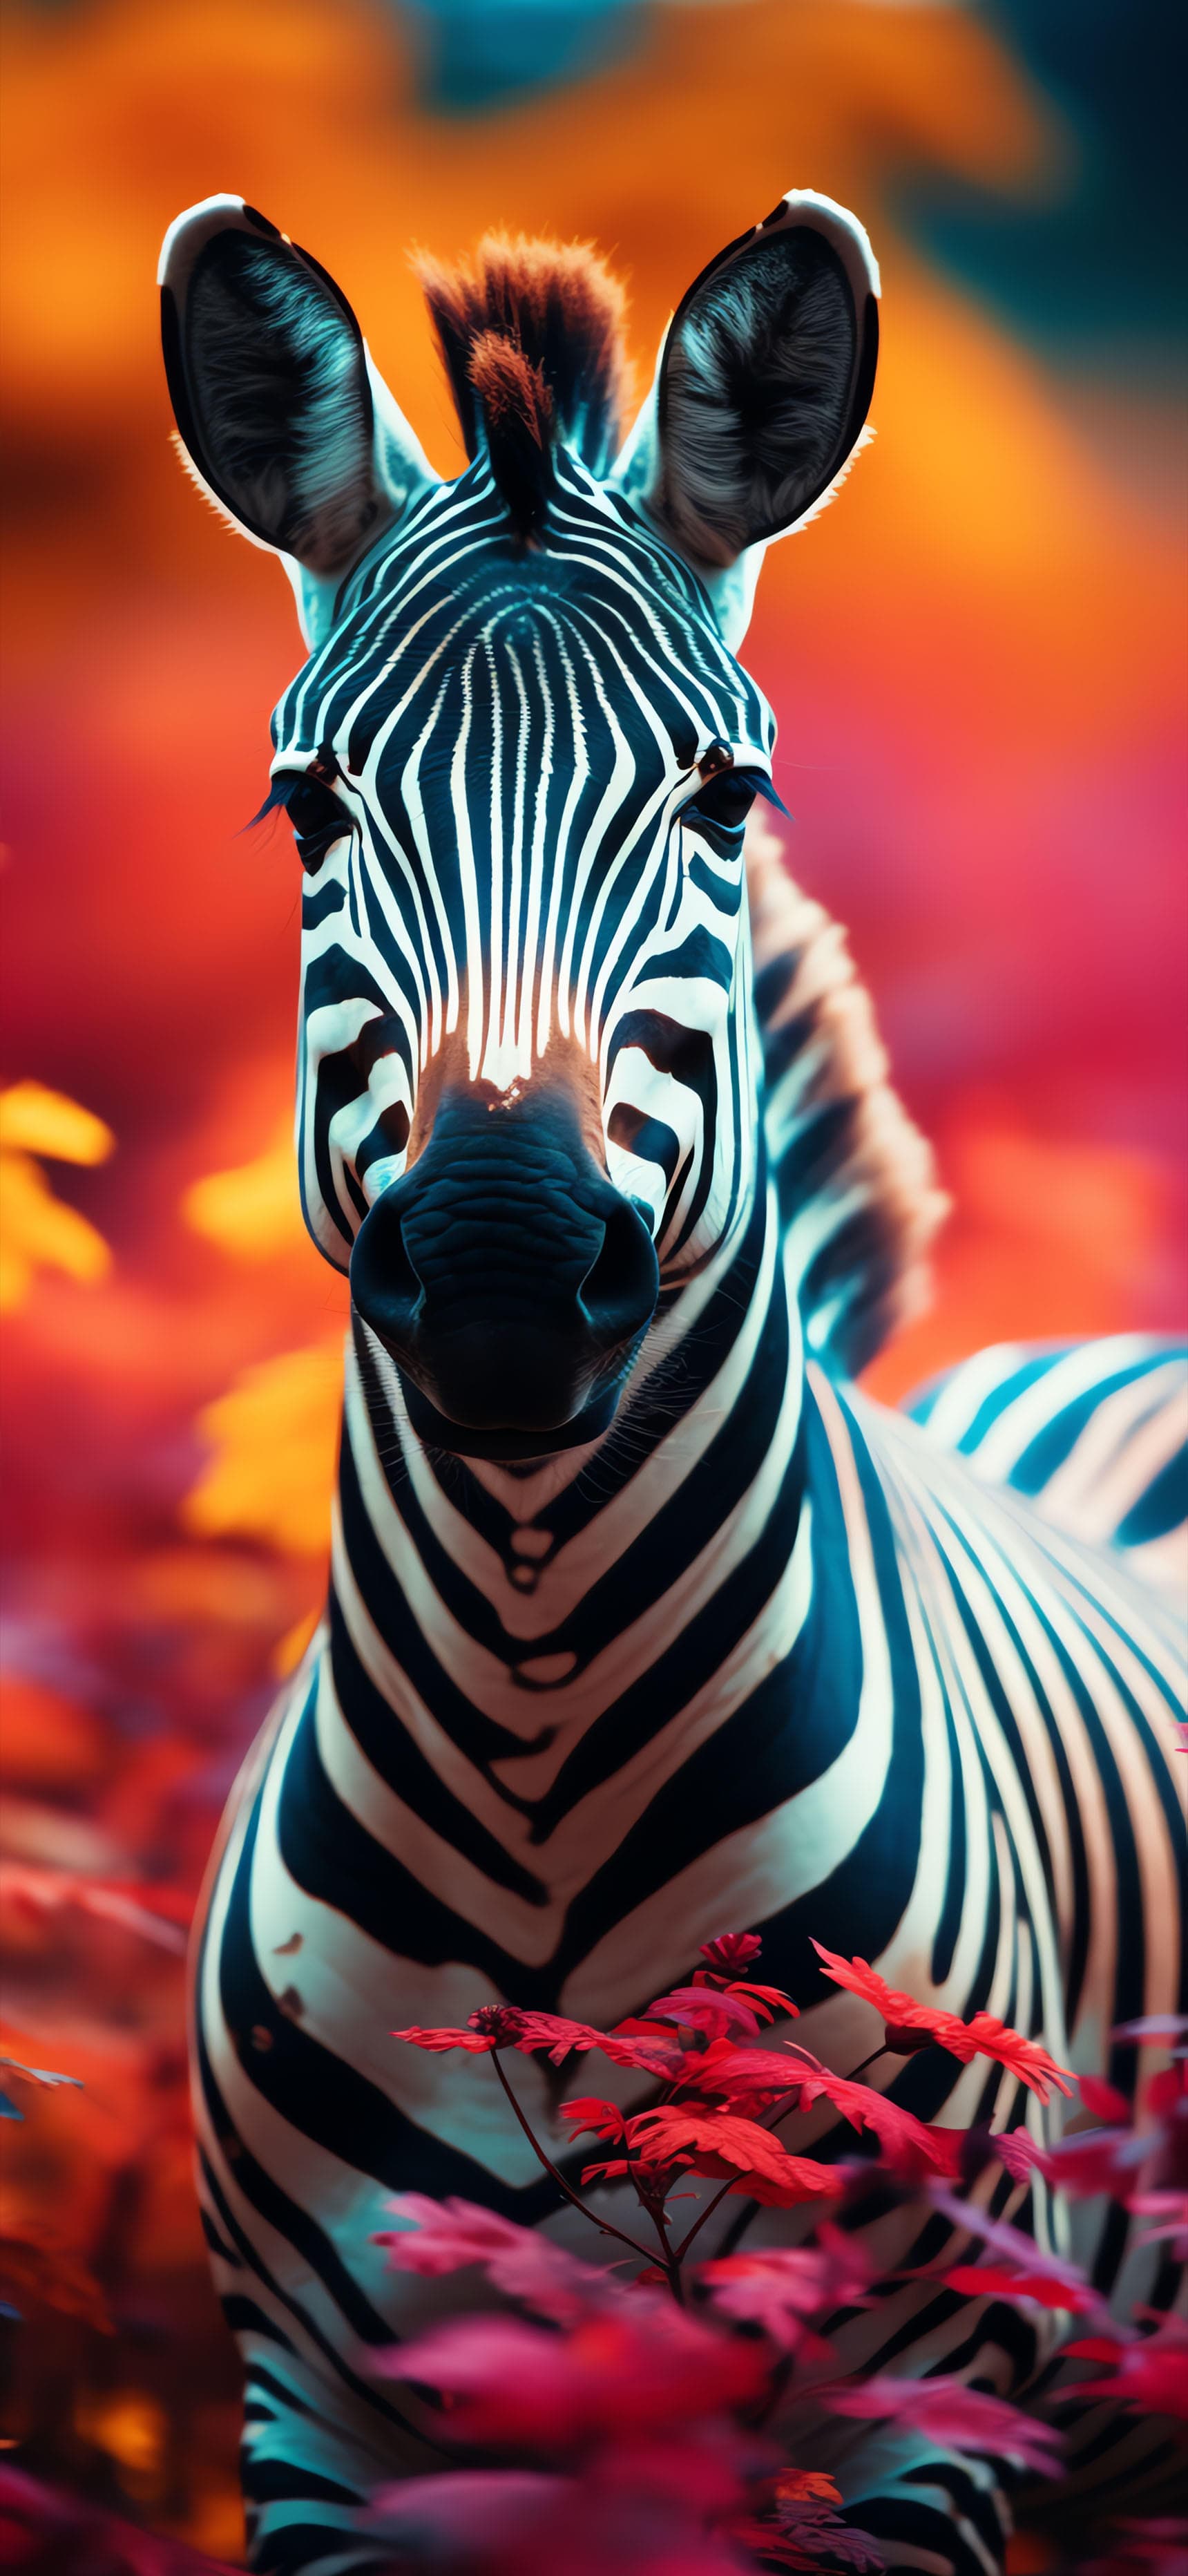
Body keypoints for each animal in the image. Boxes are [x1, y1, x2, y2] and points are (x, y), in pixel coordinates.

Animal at [159, 191, 1187, 2573]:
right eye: (305, 804)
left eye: (730, 797)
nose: (506, 1280)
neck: (540, 1728)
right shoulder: (324, 2427)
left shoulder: (921, 2414)